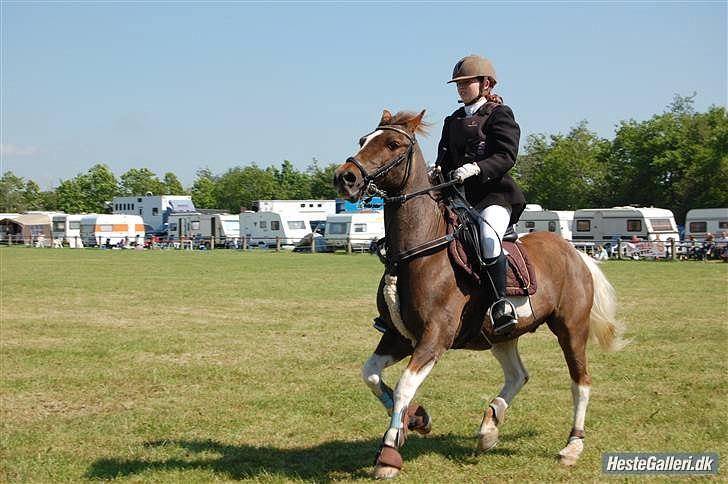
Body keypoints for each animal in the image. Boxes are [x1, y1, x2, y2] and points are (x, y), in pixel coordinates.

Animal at [333, 109, 626, 479]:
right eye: (363, 140)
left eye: (393, 144)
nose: (345, 177)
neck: (416, 252)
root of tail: (575, 254)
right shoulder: (399, 336)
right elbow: (371, 375)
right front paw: (415, 420)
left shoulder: (435, 337)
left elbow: (403, 387)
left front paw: (388, 454)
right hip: (501, 334)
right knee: (518, 375)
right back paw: (490, 427)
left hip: (571, 328)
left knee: (581, 382)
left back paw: (571, 447)